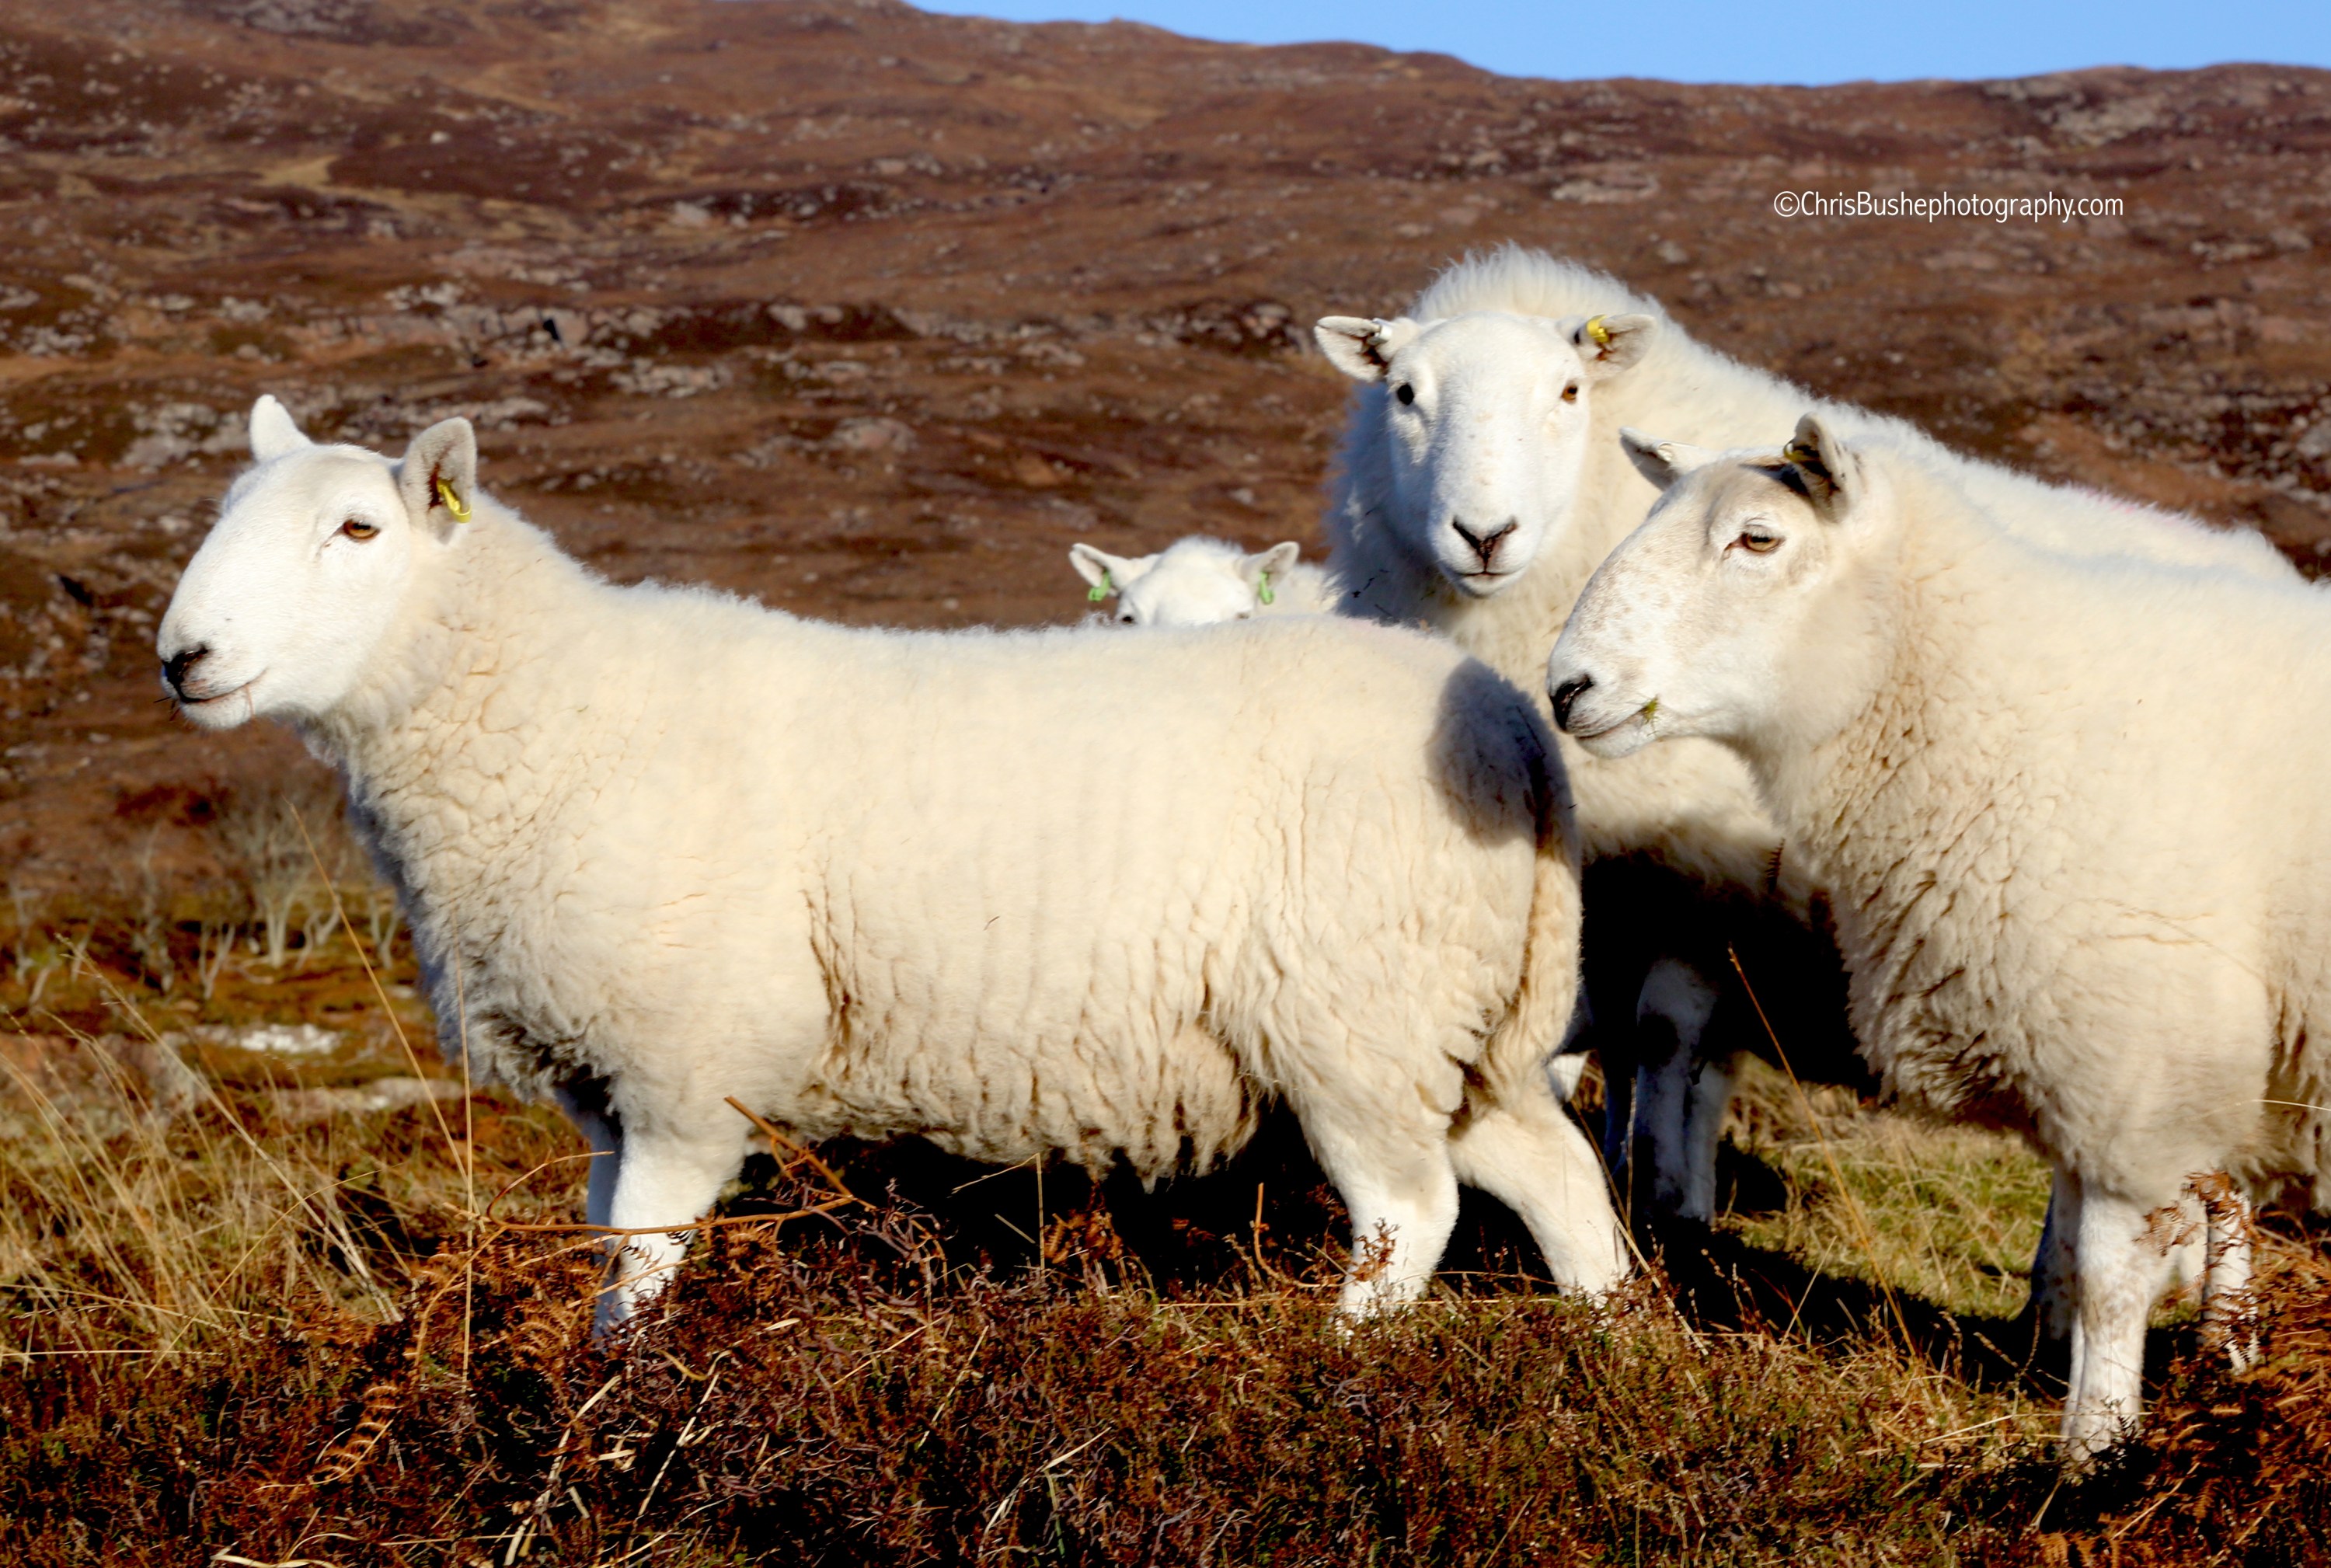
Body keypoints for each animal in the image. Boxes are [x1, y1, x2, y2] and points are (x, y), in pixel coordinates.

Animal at [1312, 247, 2298, 1272]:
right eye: (1404, 393)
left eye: (1569, 389)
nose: (1485, 534)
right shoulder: (1614, 881)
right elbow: (1615, 1047)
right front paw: (1634, 1184)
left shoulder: (1707, 880)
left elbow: (1668, 1042)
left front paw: (1671, 1209)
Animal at [1546, 414, 2310, 1458]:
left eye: (1758, 538)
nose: (1565, 686)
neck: (1993, 706)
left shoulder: (2133, 1067)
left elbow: (2111, 1282)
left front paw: (2094, 1454)